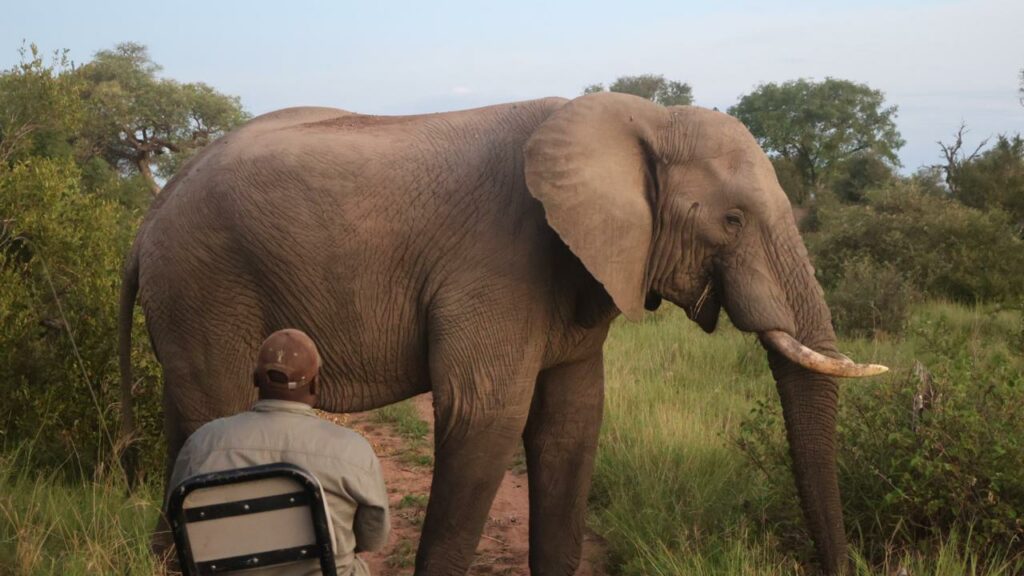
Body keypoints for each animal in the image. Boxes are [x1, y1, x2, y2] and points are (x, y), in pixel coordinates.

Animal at [119, 92, 886, 575]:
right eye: (731, 220)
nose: (838, 566)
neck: (637, 117)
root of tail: (151, 214)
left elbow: (571, 422)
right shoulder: (497, 264)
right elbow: (485, 414)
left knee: (183, 430)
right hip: (206, 282)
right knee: (211, 414)